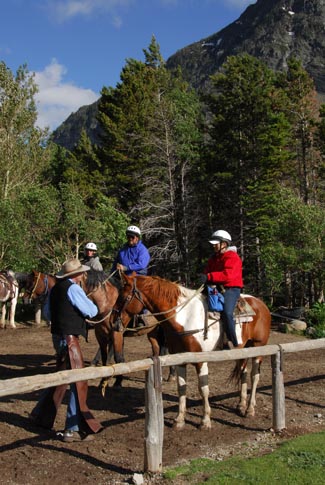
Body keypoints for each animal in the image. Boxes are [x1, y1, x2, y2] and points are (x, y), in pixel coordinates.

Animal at [110, 272, 270, 428]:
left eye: (123, 297)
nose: (112, 322)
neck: (185, 317)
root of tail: (261, 304)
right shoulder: (180, 359)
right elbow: (181, 387)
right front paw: (179, 419)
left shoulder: (201, 361)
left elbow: (203, 389)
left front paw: (205, 420)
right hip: (242, 350)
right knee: (243, 372)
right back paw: (241, 405)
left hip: (258, 347)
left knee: (254, 376)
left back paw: (250, 409)